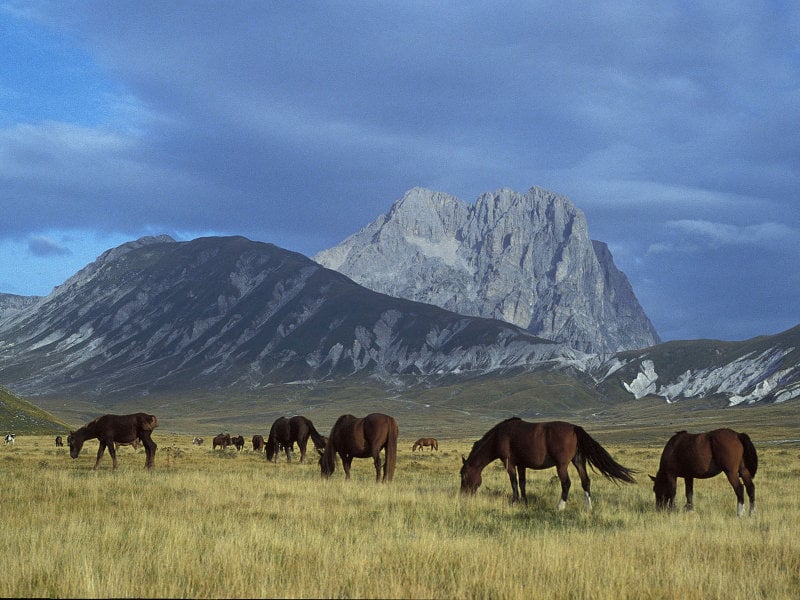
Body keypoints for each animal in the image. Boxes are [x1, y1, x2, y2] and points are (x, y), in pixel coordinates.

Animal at [460, 418, 636, 510]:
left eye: (463, 475)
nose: (463, 495)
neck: (500, 436)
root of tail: (574, 428)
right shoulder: (521, 464)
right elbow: (522, 483)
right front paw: (525, 502)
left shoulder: (509, 463)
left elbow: (514, 483)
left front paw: (514, 502)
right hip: (578, 461)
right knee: (585, 482)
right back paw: (589, 508)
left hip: (562, 465)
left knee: (566, 483)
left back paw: (560, 507)